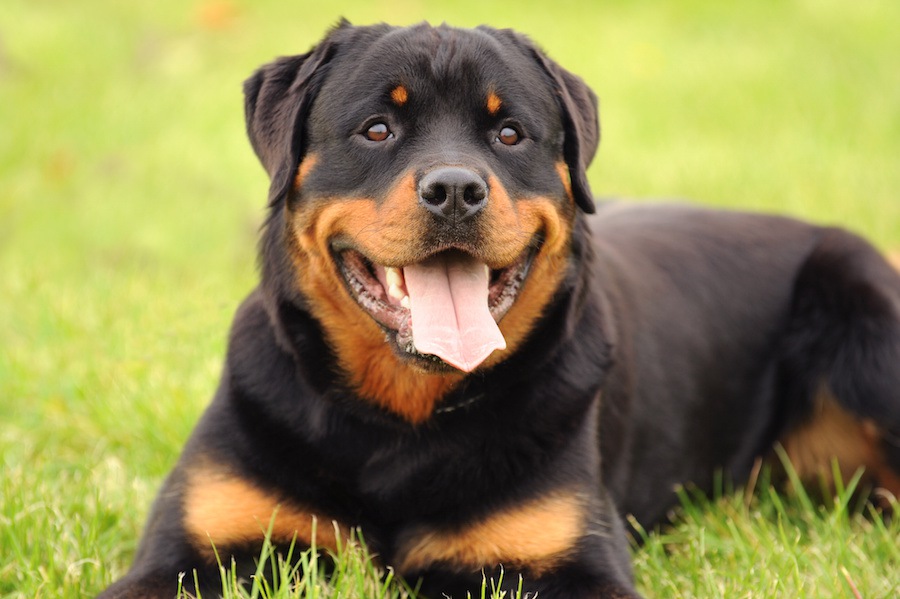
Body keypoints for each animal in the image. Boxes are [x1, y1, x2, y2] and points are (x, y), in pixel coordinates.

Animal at [100, 21, 900, 596]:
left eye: (509, 133)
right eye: (376, 128)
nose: (456, 187)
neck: (401, 422)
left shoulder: (569, 560)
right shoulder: (194, 543)